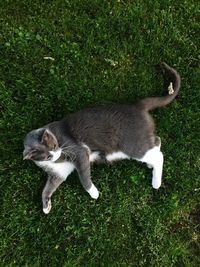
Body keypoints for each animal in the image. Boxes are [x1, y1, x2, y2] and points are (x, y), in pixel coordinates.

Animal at [22, 61, 180, 215]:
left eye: (55, 146)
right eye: (48, 156)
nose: (56, 153)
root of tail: (137, 106)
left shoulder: (79, 151)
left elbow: (83, 176)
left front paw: (94, 193)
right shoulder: (58, 173)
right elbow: (47, 188)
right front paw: (45, 206)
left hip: (133, 145)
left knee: (159, 156)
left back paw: (156, 182)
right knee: (157, 141)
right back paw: (149, 164)